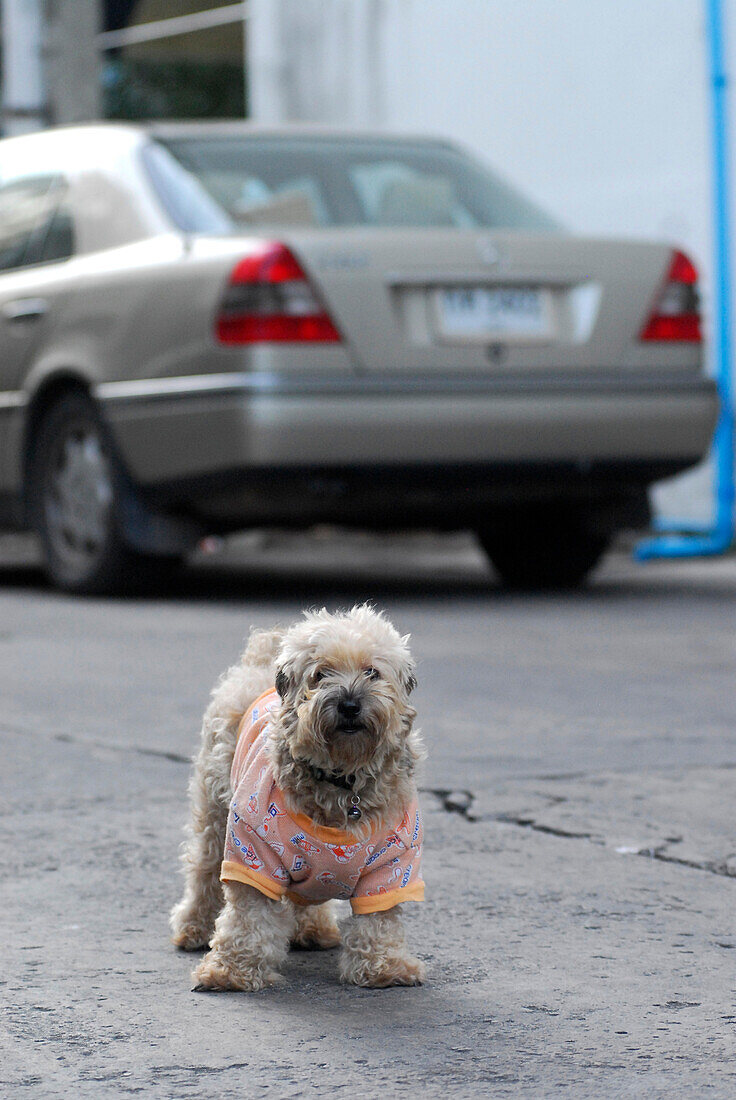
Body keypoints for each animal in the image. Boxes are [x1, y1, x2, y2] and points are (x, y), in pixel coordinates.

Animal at [169, 607, 424, 994]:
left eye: (372, 672)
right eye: (320, 674)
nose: (350, 704)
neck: (341, 781)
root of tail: (262, 655)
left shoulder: (393, 864)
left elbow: (380, 917)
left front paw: (384, 966)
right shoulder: (254, 851)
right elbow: (249, 915)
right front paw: (232, 970)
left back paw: (313, 929)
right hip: (214, 811)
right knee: (204, 868)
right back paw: (194, 927)